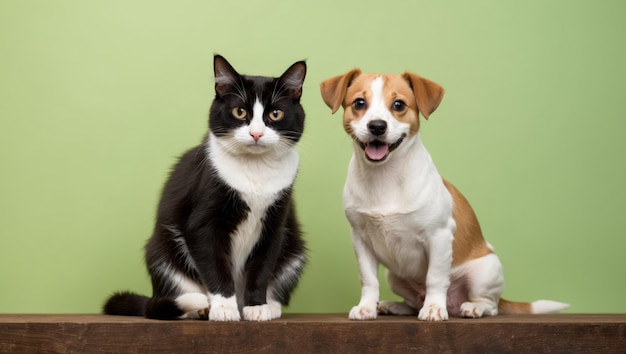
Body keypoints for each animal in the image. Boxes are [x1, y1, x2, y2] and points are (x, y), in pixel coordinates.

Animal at [105, 54, 308, 320]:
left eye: (275, 114)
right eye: (239, 111)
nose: (255, 134)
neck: (255, 169)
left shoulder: (275, 223)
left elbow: (262, 266)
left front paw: (256, 307)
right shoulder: (203, 217)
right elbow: (214, 263)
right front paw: (223, 308)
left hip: (294, 250)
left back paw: (269, 306)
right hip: (161, 251)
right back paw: (200, 307)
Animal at [320, 68, 568, 320]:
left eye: (399, 105)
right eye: (359, 103)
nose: (377, 126)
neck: (385, 177)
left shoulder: (438, 236)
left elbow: (435, 278)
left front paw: (433, 308)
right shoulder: (361, 240)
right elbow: (368, 279)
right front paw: (367, 307)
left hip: (485, 272)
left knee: (491, 305)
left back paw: (472, 307)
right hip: (395, 277)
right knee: (413, 301)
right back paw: (396, 306)